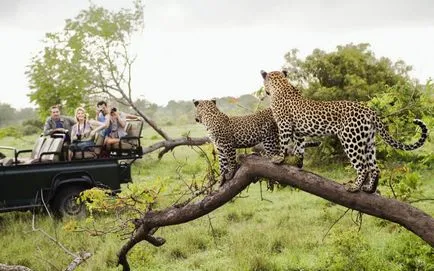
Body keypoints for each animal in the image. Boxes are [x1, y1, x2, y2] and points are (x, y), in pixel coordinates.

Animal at [260, 70, 428, 193]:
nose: (265, 92)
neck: (281, 85)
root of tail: (369, 110)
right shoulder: (299, 131)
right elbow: (299, 147)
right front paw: (298, 162)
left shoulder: (284, 124)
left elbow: (283, 142)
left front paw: (279, 158)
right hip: (368, 141)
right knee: (374, 167)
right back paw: (369, 189)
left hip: (351, 139)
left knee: (363, 167)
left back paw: (354, 187)